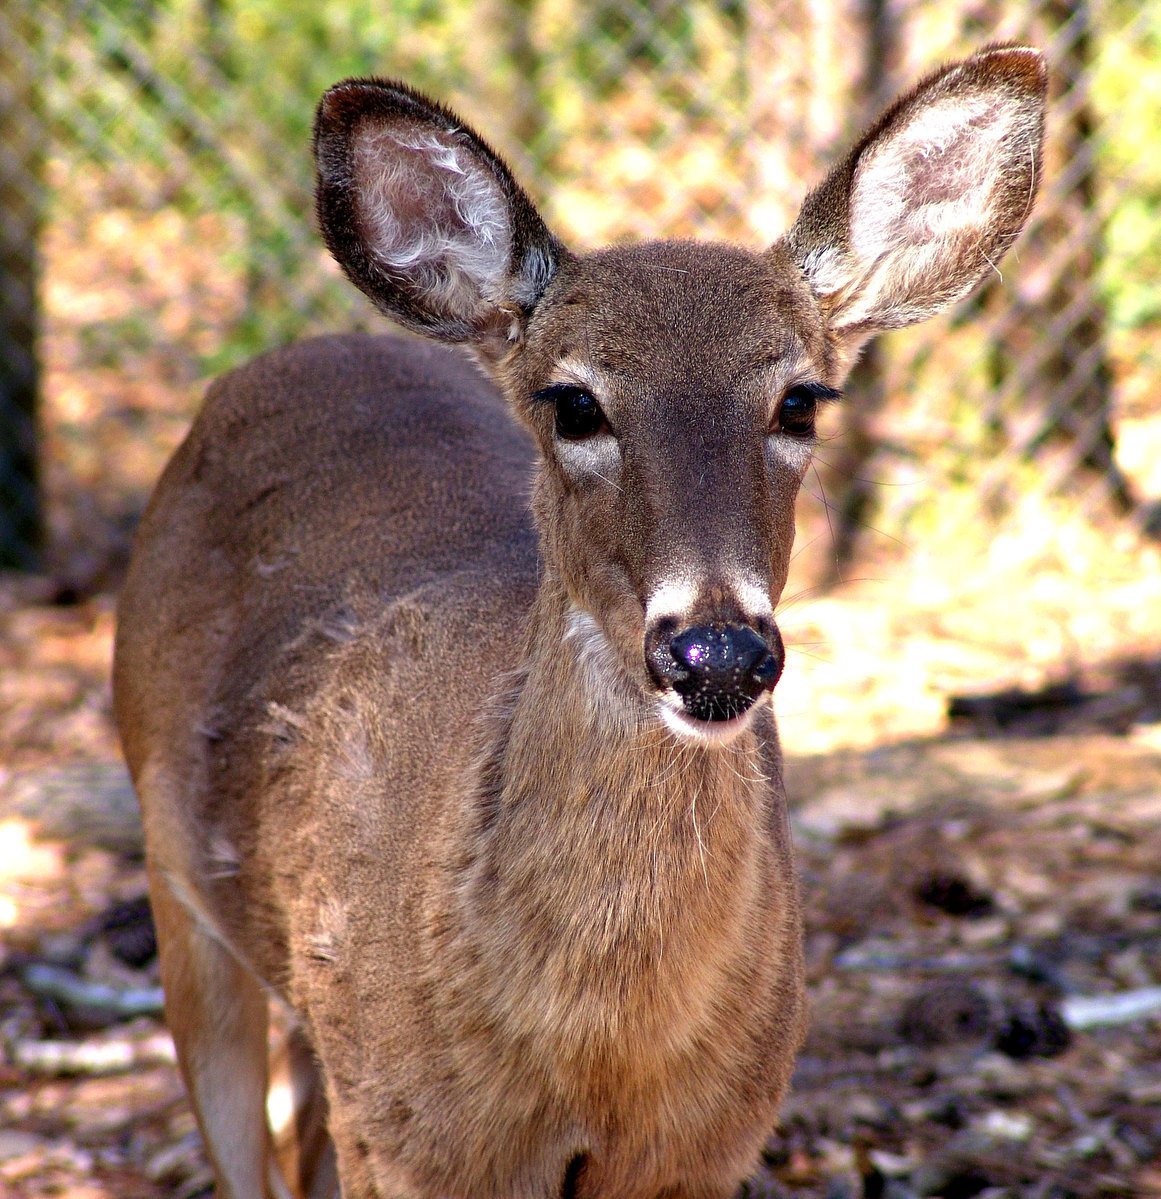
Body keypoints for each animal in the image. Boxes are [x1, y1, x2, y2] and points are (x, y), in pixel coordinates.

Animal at [115, 42, 1041, 1199]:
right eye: (574, 403)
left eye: (800, 399)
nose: (715, 650)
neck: (589, 1047)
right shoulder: (412, 1140)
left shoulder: (706, 1144)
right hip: (179, 890)